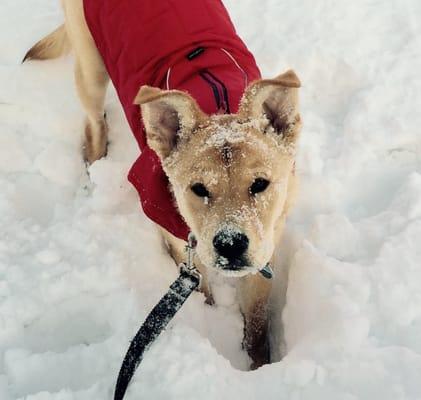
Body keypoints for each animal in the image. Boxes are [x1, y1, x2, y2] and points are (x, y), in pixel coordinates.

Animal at [23, 0, 302, 368]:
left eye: (260, 184)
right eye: (198, 189)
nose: (229, 245)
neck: (220, 103)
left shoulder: (266, 241)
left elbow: (257, 321)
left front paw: (259, 365)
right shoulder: (176, 238)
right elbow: (201, 290)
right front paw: (210, 322)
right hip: (91, 67)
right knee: (94, 124)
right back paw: (96, 165)